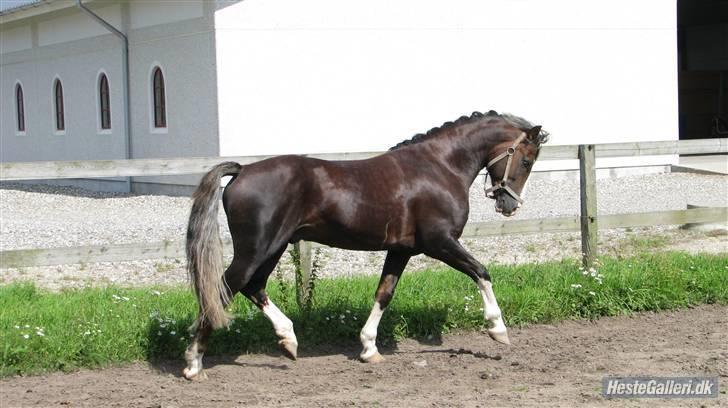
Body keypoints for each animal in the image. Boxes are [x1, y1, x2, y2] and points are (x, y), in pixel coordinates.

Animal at [182, 111, 544, 380]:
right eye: (527, 160)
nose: (509, 206)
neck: (439, 167)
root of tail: (242, 171)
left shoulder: (401, 250)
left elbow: (384, 294)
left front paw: (370, 349)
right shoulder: (440, 242)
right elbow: (481, 272)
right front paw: (498, 329)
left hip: (274, 247)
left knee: (253, 287)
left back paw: (288, 340)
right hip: (256, 249)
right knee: (224, 289)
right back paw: (193, 363)